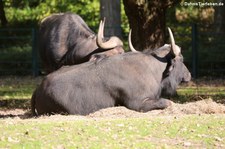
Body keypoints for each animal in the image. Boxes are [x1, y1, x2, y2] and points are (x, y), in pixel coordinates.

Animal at [30, 28, 191, 116]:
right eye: (182, 58)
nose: (189, 75)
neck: (153, 70)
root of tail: (39, 89)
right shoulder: (138, 103)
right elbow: (167, 102)